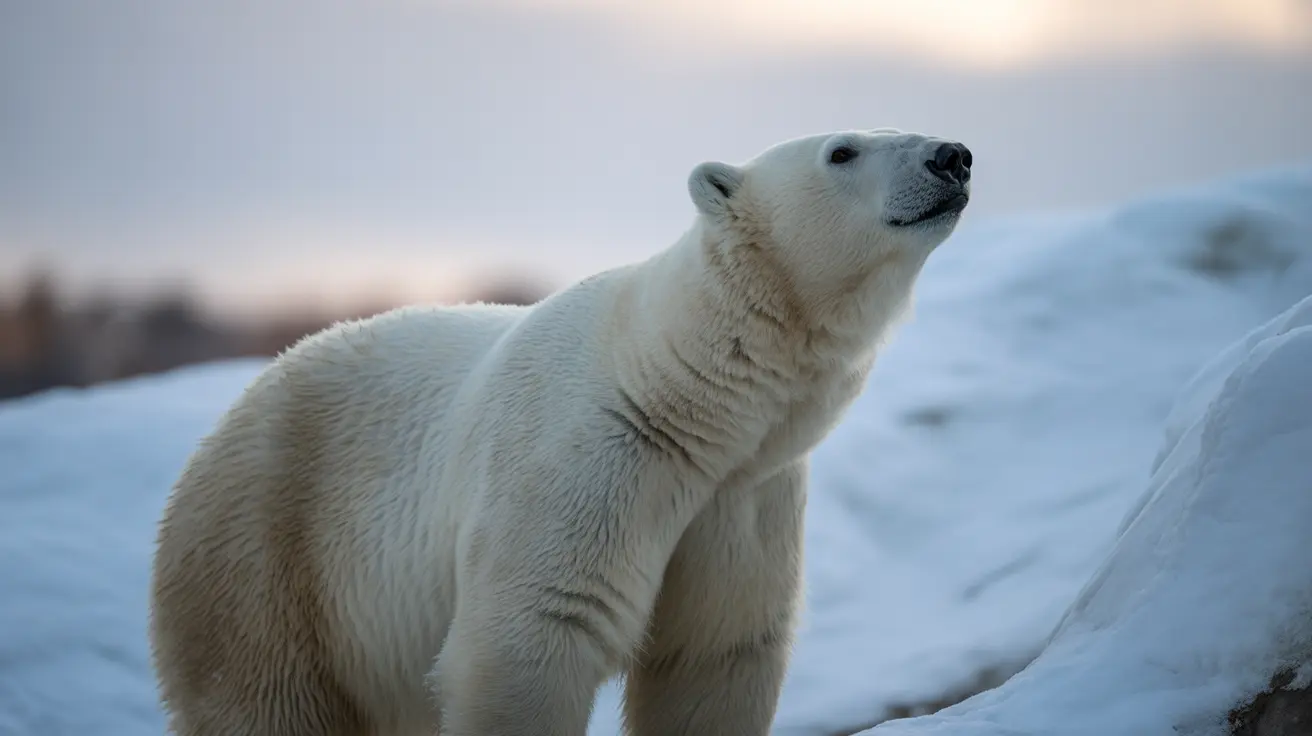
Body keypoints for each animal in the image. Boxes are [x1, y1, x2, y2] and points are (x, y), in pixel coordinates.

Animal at [148, 128, 973, 736]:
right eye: (843, 150)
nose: (953, 155)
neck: (678, 393)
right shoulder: (581, 462)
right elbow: (531, 635)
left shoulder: (743, 500)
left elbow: (714, 655)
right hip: (266, 564)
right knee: (265, 700)